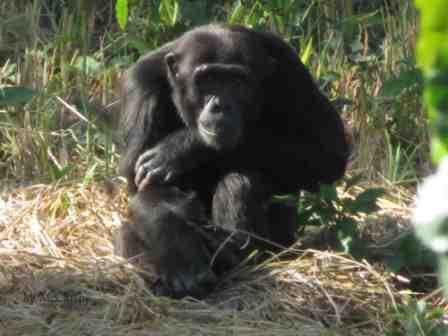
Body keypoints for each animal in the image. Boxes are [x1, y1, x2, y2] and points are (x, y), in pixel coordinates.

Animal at [113, 23, 350, 298]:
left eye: (236, 82)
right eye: (208, 80)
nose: (220, 105)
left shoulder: (292, 69)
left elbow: (327, 154)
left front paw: (182, 147)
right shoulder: (140, 86)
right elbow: (144, 188)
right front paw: (178, 249)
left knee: (239, 181)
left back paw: (232, 249)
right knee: (127, 232)